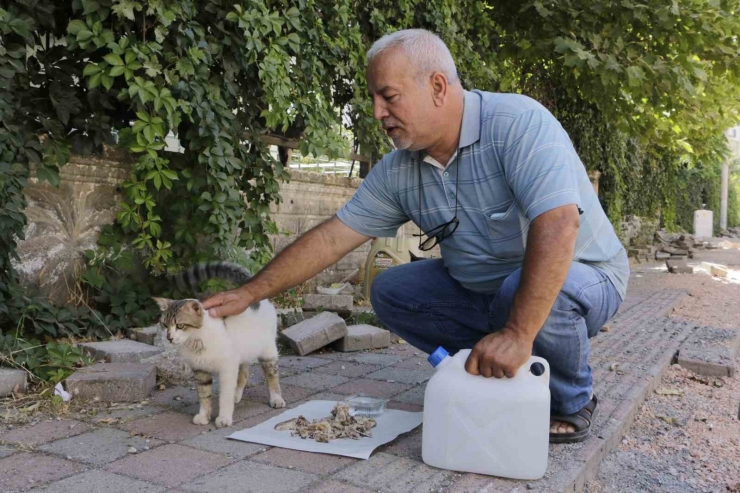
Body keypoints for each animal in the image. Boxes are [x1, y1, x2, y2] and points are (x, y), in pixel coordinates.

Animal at [154, 262, 286, 426]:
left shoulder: (227, 369)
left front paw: (224, 418)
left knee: (272, 375)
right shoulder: (200, 371)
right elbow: (204, 396)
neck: (197, 343)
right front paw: (204, 416)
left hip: (267, 352)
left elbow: (225, 397)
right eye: (165, 325)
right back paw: (237, 395)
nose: (169, 338)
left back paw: (276, 398)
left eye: (180, 326)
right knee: (244, 374)